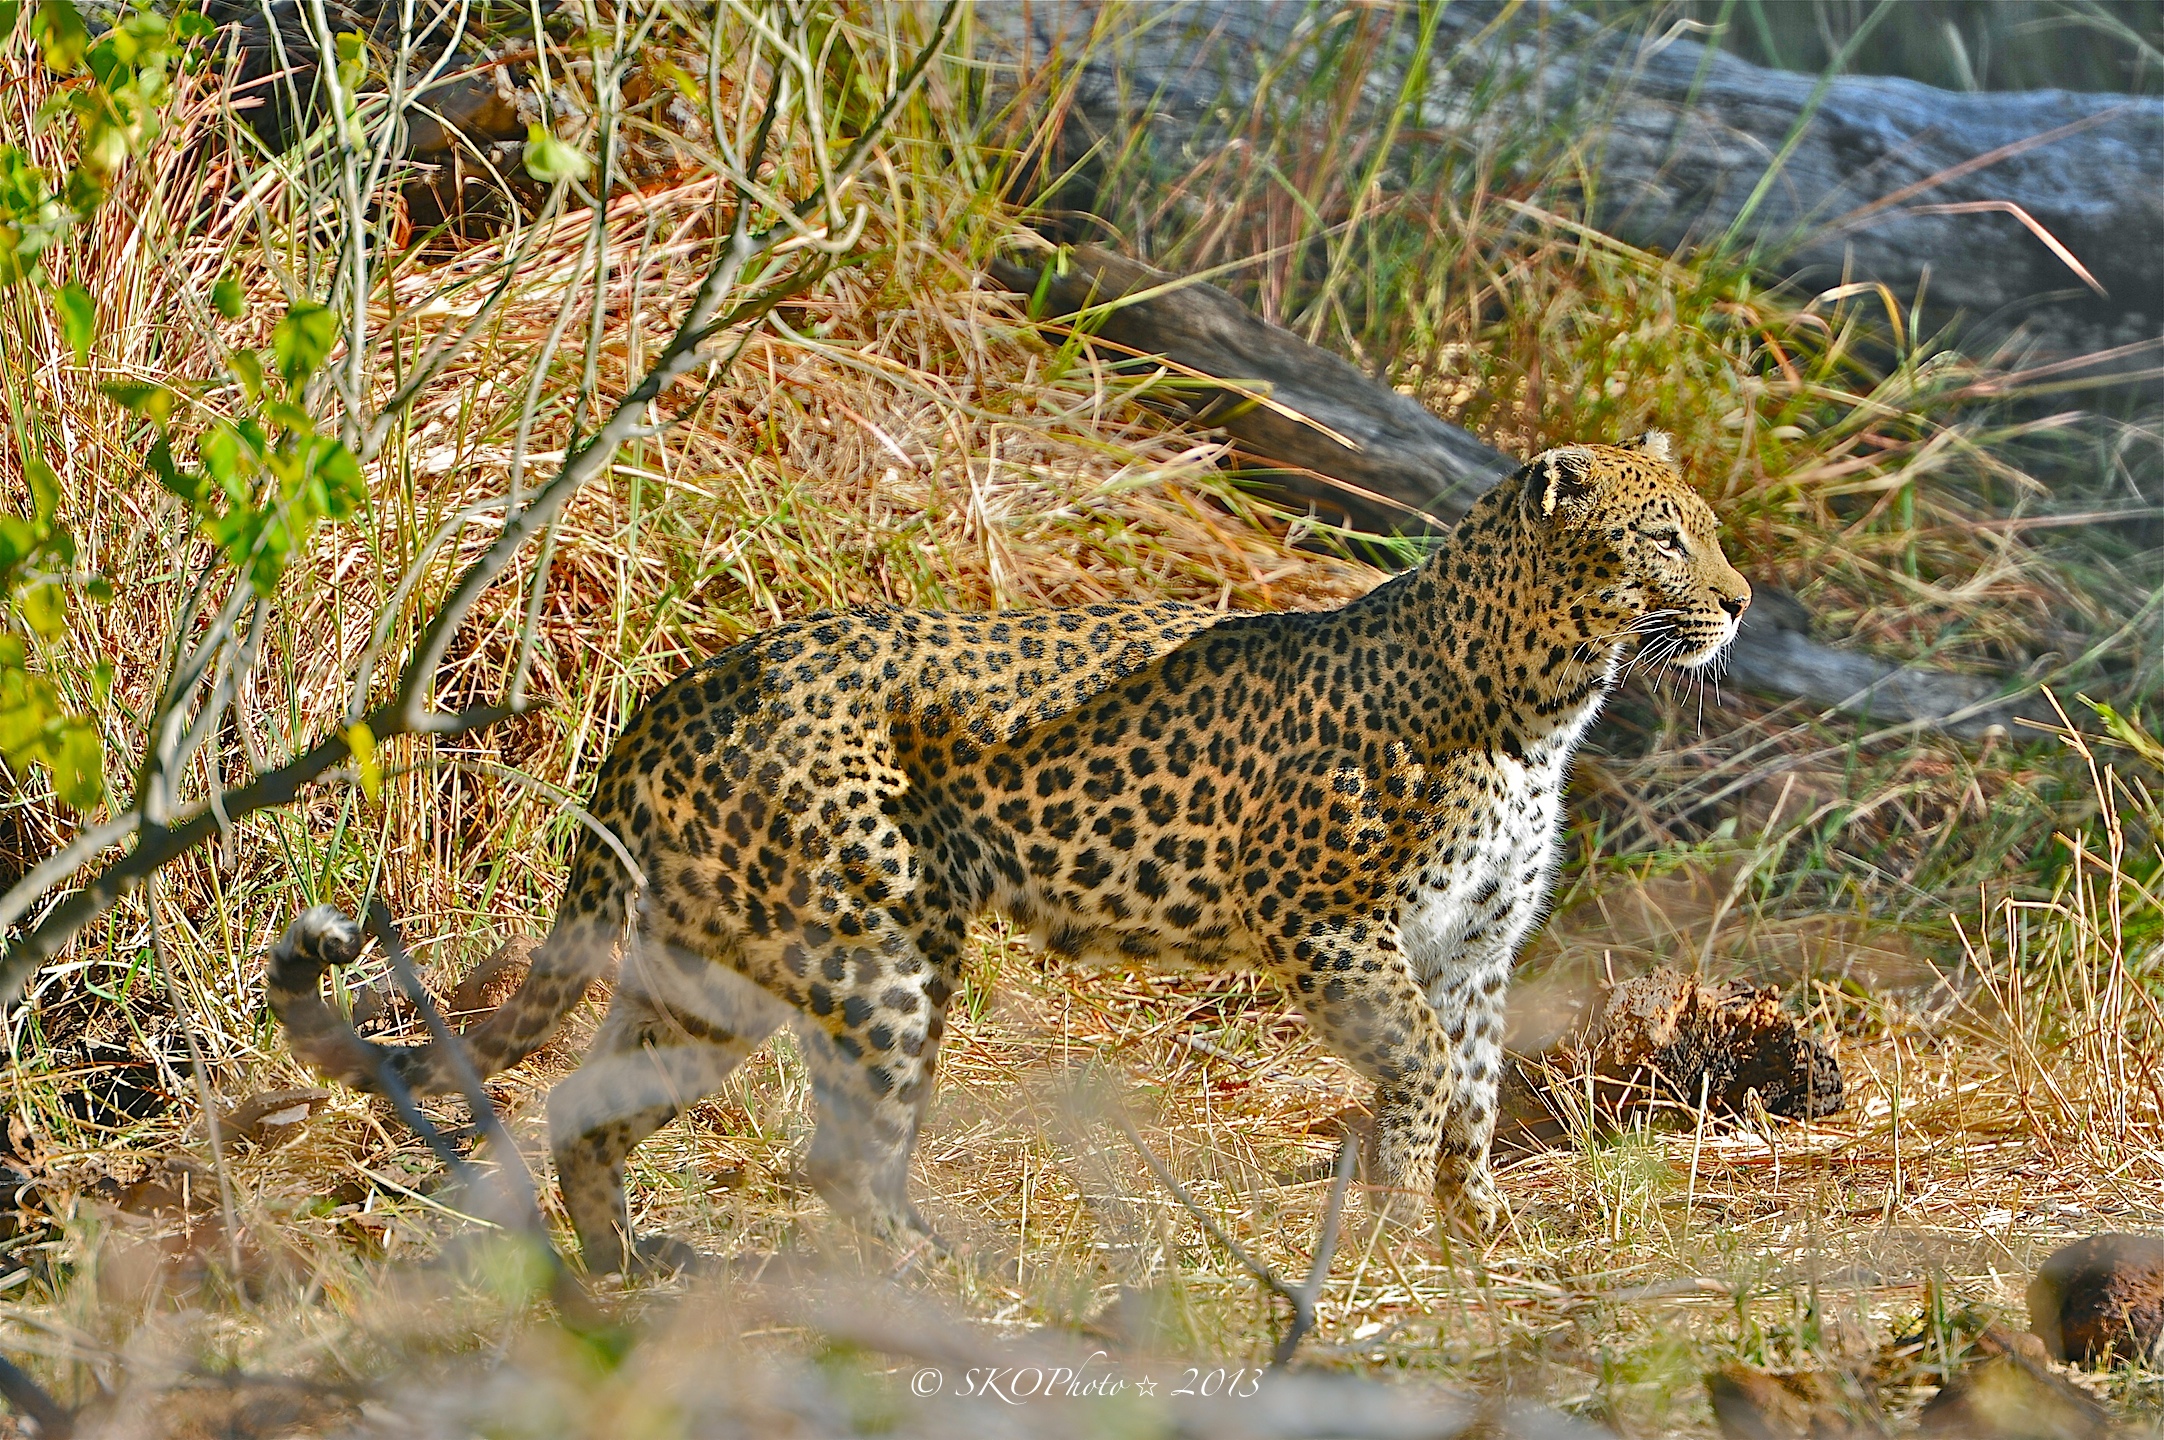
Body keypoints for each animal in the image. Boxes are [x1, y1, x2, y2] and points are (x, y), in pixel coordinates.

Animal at [268, 430, 1750, 1274]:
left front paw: (1478, 1236)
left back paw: (629, 1266)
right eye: (1666, 534)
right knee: (839, 1157)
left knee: (590, 1103)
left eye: (1712, 528)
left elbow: (1479, 1095)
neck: (1543, 707)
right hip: (878, 951)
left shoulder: (1477, 952)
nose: (1739, 602)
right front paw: (1395, 1211)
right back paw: (952, 1279)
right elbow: (1428, 1077)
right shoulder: (1329, 927)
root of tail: (685, 690)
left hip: (715, 964)